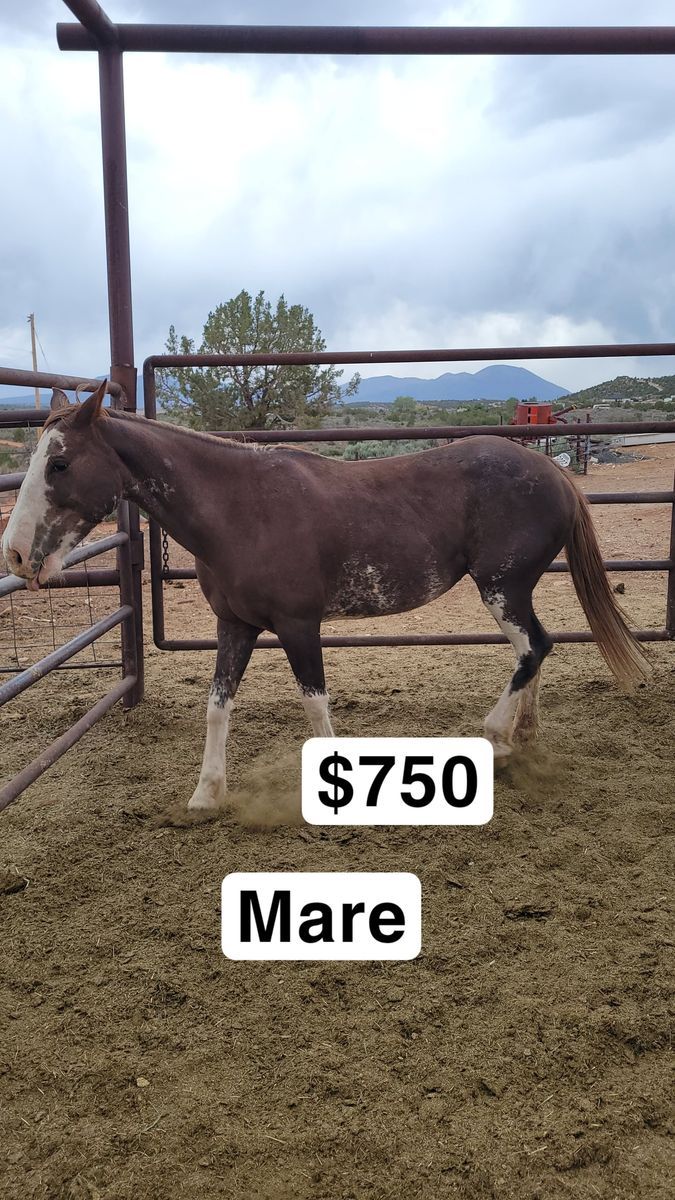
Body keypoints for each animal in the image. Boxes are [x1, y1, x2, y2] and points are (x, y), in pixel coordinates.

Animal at [2, 380, 648, 810]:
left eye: (60, 464)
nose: (15, 555)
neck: (241, 510)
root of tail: (554, 471)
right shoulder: (235, 626)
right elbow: (217, 707)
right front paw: (207, 795)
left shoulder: (297, 625)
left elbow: (315, 705)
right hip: (514, 589)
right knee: (537, 647)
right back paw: (522, 738)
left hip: (501, 587)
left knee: (533, 647)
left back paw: (496, 739)